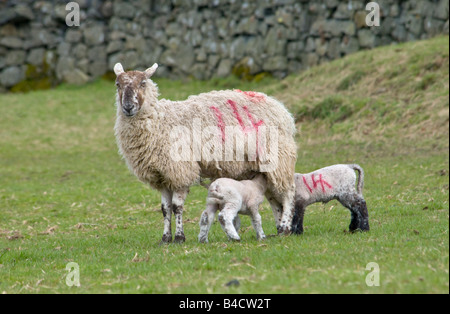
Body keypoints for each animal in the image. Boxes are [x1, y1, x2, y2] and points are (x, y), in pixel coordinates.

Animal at [111, 62, 298, 243]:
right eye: (117, 84)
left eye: (143, 83)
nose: (128, 107)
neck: (161, 120)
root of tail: (280, 108)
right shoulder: (163, 175)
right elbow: (165, 209)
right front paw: (165, 238)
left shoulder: (181, 171)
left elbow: (176, 207)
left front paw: (179, 237)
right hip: (262, 167)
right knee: (273, 198)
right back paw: (279, 228)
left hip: (279, 158)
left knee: (289, 192)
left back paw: (285, 227)